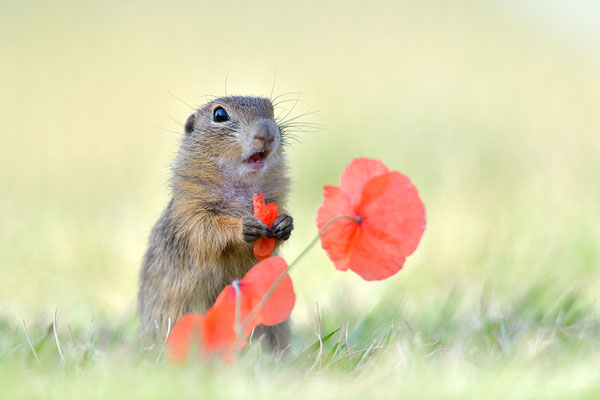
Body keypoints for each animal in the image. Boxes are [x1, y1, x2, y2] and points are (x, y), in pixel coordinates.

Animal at [138, 96, 292, 350]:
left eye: (271, 110)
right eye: (220, 115)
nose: (267, 134)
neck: (242, 188)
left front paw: (284, 223)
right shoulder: (192, 210)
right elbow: (206, 229)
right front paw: (244, 226)